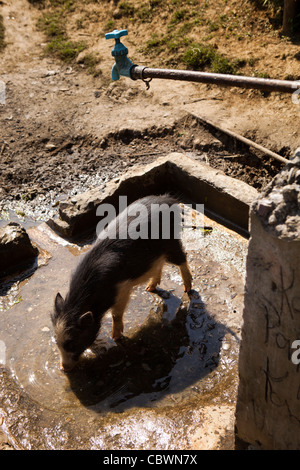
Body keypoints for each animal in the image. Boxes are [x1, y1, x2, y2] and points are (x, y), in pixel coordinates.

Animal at [50, 195, 192, 370]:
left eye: (71, 343)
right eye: (57, 341)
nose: (63, 368)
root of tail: (169, 200)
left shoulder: (122, 289)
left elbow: (116, 314)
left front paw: (115, 337)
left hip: (171, 241)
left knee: (182, 258)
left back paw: (188, 288)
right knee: (159, 264)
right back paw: (149, 288)